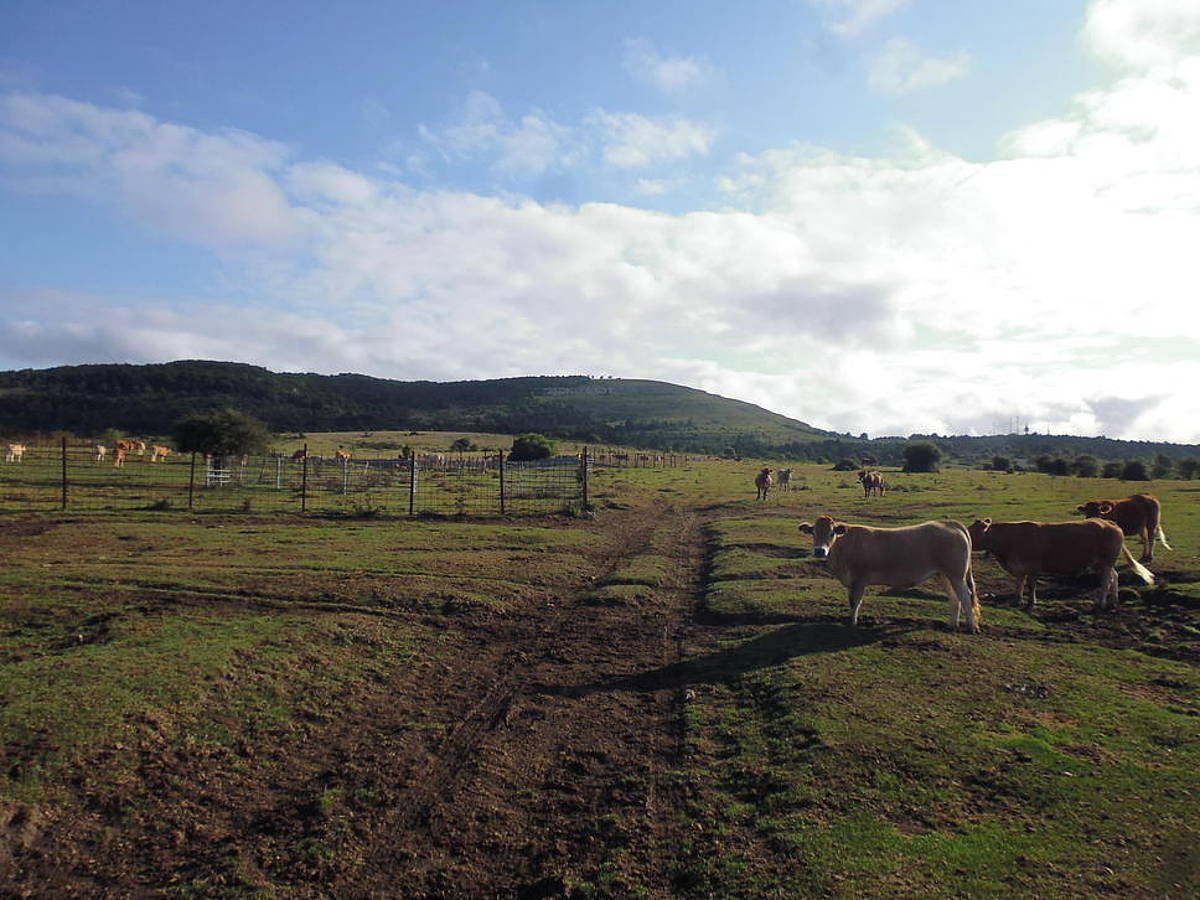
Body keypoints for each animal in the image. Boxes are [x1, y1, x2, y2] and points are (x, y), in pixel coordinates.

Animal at [796, 513, 984, 633]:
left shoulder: (859, 580)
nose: (819, 551)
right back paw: (952, 625)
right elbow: (851, 602)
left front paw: (852, 623)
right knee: (954, 598)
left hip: (957, 575)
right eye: (813, 532)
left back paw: (972, 628)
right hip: (944, 575)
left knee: (965, 596)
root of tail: (950, 523)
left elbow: (855, 602)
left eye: (831, 532)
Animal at [964, 520, 1152, 614]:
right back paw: (1114, 600)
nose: (964, 536)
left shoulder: (1034, 566)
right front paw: (1017, 599)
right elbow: (1019, 583)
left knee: (1106, 580)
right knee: (1114, 576)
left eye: (972, 531)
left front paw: (1031, 603)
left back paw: (1102, 602)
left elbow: (1031, 585)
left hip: (1105, 562)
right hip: (1102, 563)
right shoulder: (1020, 567)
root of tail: (1110, 523)